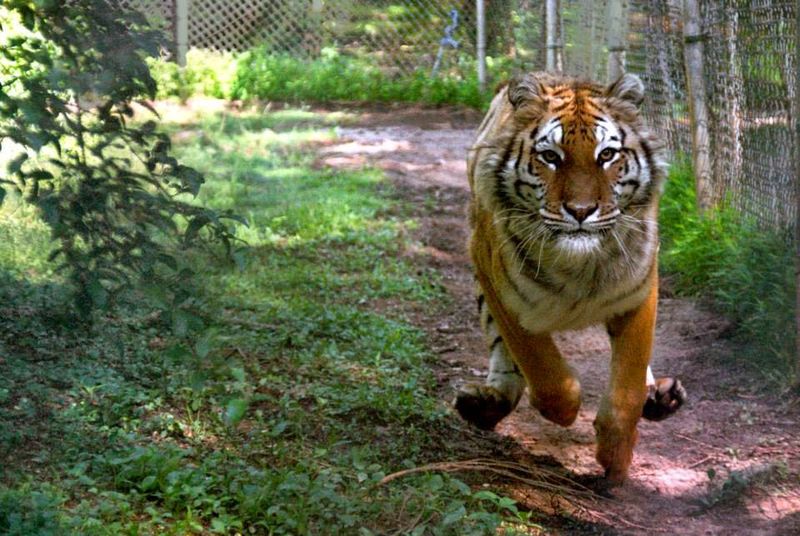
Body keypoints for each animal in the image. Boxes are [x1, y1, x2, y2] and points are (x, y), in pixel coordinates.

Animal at [455, 72, 686, 485]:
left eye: (606, 155)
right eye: (550, 157)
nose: (581, 210)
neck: (581, 265)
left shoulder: (640, 290)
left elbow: (627, 388)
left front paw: (615, 459)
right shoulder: (499, 284)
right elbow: (546, 374)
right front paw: (564, 412)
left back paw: (661, 396)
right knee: (501, 352)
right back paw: (484, 404)